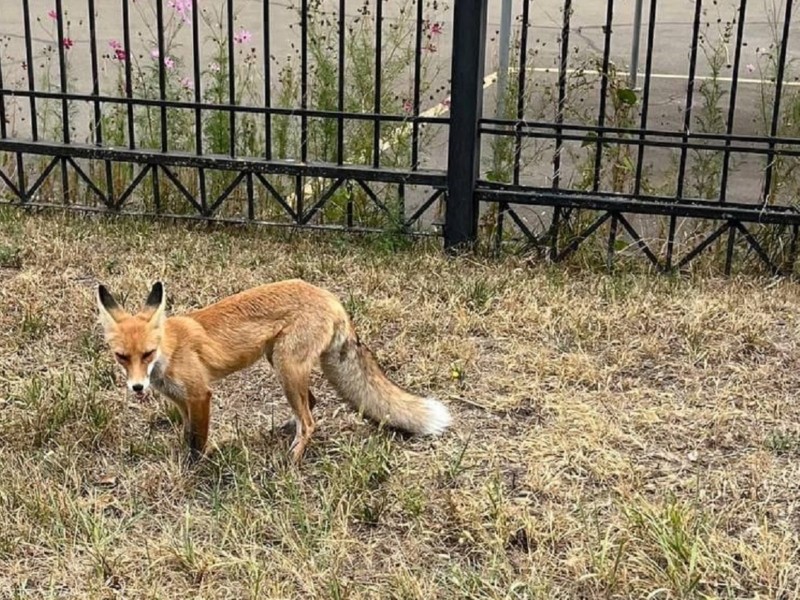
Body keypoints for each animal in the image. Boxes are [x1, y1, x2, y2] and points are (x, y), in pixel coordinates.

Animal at [95, 278, 450, 462]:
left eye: (147, 353)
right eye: (121, 357)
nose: (137, 388)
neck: (169, 349)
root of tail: (332, 298)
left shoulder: (200, 395)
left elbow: (198, 441)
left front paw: (195, 467)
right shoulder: (183, 402)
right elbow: (187, 434)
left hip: (286, 366)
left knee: (311, 421)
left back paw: (292, 460)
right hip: (279, 362)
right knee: (311, 405)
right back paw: (287, 430)